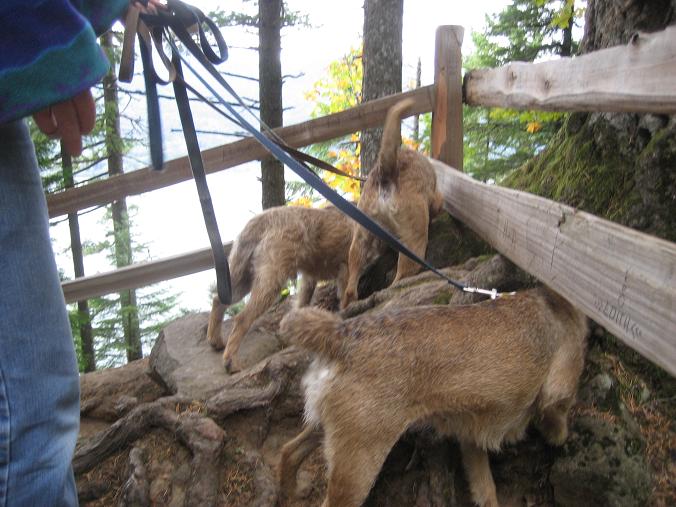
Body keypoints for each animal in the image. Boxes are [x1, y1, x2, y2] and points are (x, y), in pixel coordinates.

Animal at [207, 205, 352, 373]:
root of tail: (261, 221)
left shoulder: (309, 279)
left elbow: (303, 301)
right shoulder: (347, 268)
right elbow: (347, 294)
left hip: (240, 279)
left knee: (218, 300)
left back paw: (215, 340)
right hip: (271, 281)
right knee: (242, 318)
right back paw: (231, 362)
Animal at [278, 286, 588, 506]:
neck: (554, 301)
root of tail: (341, 334)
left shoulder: (471, 439)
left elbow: (485, 489)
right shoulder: (557, 391)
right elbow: (557, 414)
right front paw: (561, 437)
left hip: (328, 428)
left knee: (289, 452)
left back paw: (293, 490)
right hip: (359, 460)